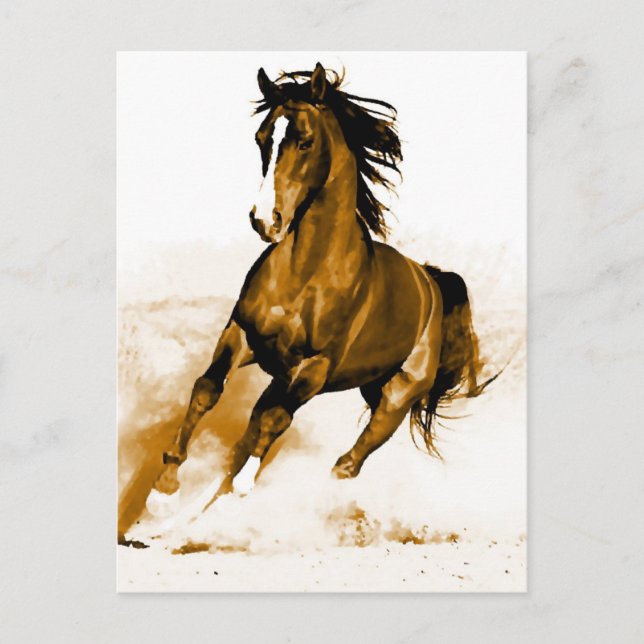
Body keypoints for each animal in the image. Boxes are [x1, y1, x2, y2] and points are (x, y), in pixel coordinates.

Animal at [153, 63, 494, 508]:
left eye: (305, 142)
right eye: (261, 138)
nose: (265, 220)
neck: (305, 274)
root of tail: (430, 281)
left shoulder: (314, 367)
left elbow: (275, 419)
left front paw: (242, 484)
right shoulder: (243, 335)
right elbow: (208, 389)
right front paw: (165, 485)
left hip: (395, 395)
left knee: (353, 454)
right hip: (320, 381)